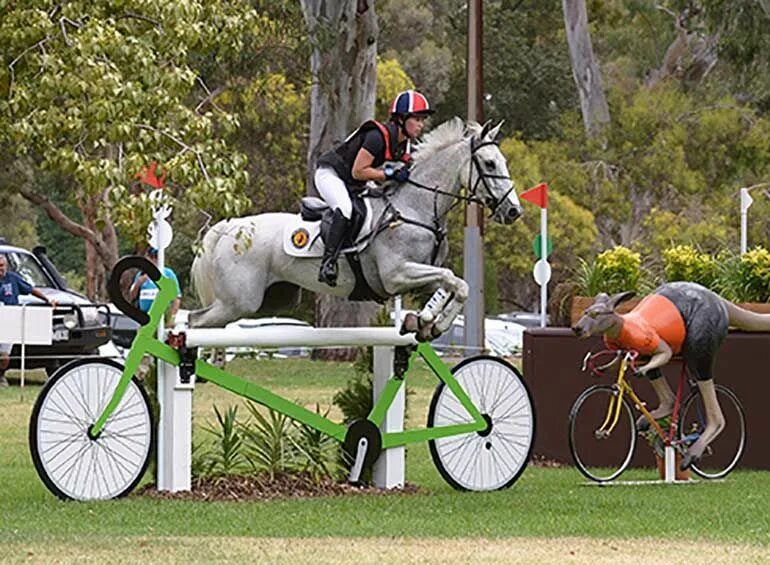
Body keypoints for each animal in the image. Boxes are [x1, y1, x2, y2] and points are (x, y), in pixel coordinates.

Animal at [190, 118, 520, 340]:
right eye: (489, 163)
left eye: (502, 161)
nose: (514, 211)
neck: (417, 207)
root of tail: (229, 228)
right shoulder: (396, 275)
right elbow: (453, 280)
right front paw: (427, 319)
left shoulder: (419, 277)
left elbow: (457, 285)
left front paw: (427, 324)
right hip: (238, 302)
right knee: (193, 322)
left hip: (265, 300)